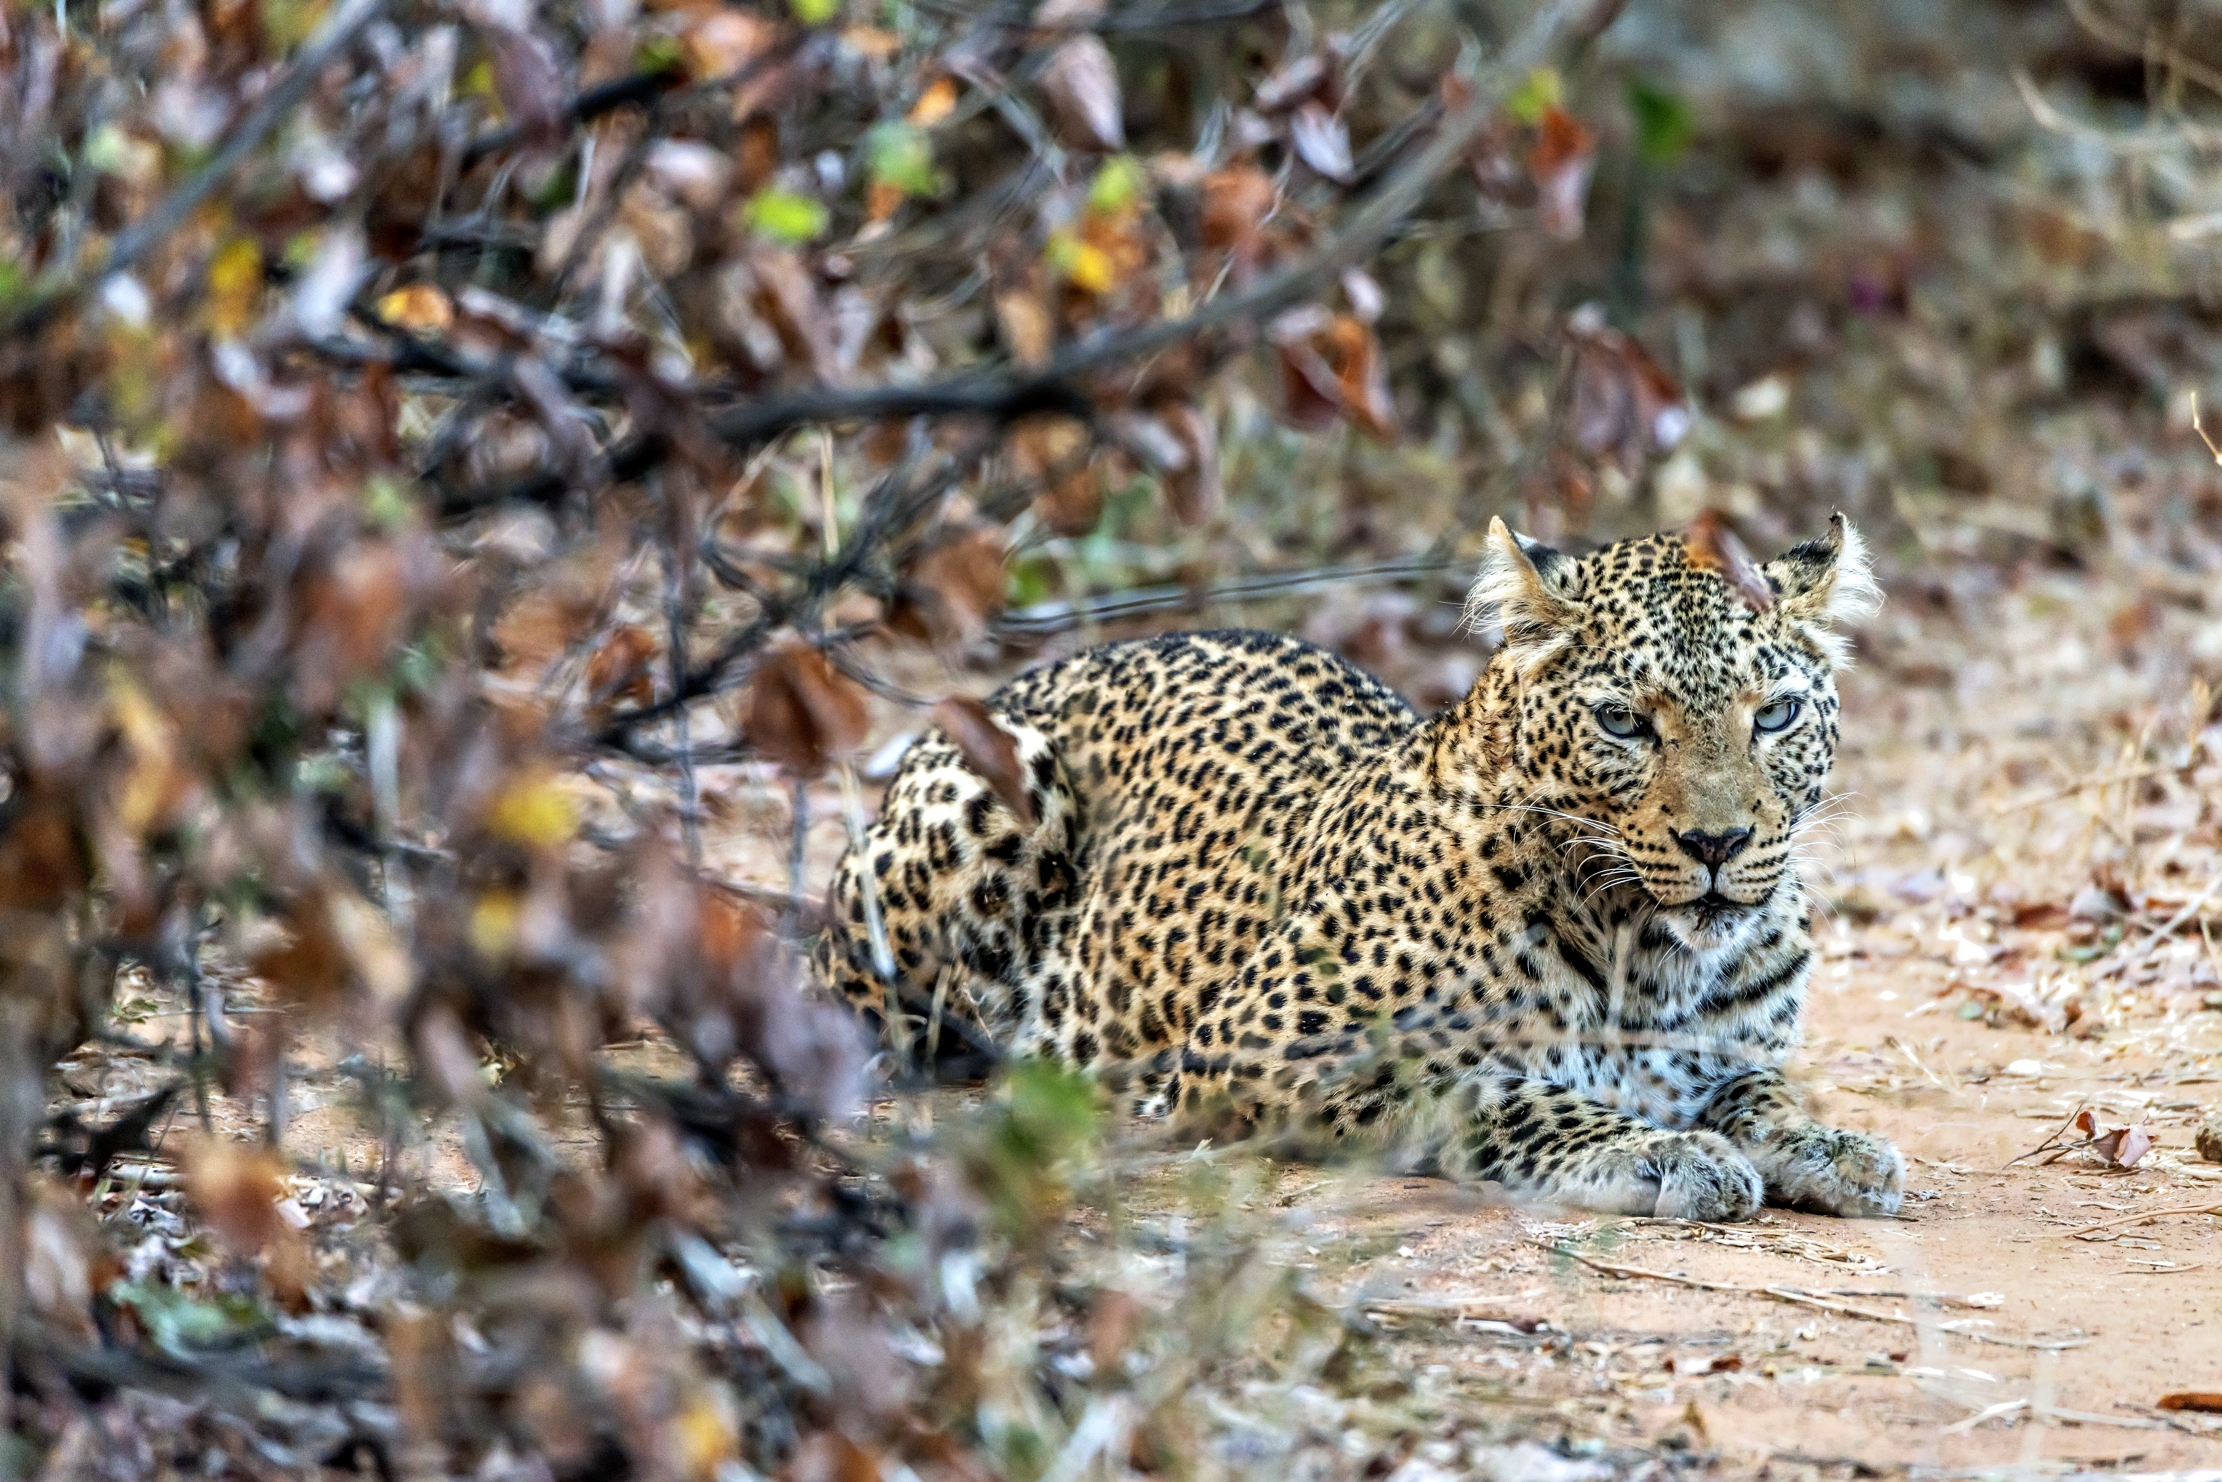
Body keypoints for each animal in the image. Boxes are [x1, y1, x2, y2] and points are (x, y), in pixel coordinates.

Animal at [815, 516, 1903, 1221]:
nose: (1717, 845)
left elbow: (1758, 1095)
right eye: (1623, 723)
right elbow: (1494, 1092)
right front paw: (1659, 1151)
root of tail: (1027, 677)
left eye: (1774, 714)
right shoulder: (1257, 1048)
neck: (1652, 956)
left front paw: (1831, 1146)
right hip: (985, 819)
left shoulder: (1727, 1054)